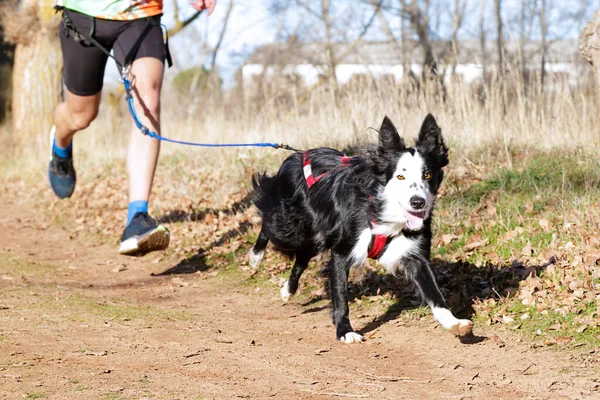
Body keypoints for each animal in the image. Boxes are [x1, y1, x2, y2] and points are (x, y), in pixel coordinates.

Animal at [248, 114, 474, 342]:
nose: (418, 202)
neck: (382, 209)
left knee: (302, 257)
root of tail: (296, 155)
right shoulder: (342, 250)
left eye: (427, 175)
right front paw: (345, 331)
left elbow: (434, 293)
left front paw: (454, 322)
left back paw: (288, 290)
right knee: (268, 223)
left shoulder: (415, 254)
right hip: (291, 227)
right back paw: (256, 257)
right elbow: (341, 294)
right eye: (400, 176)